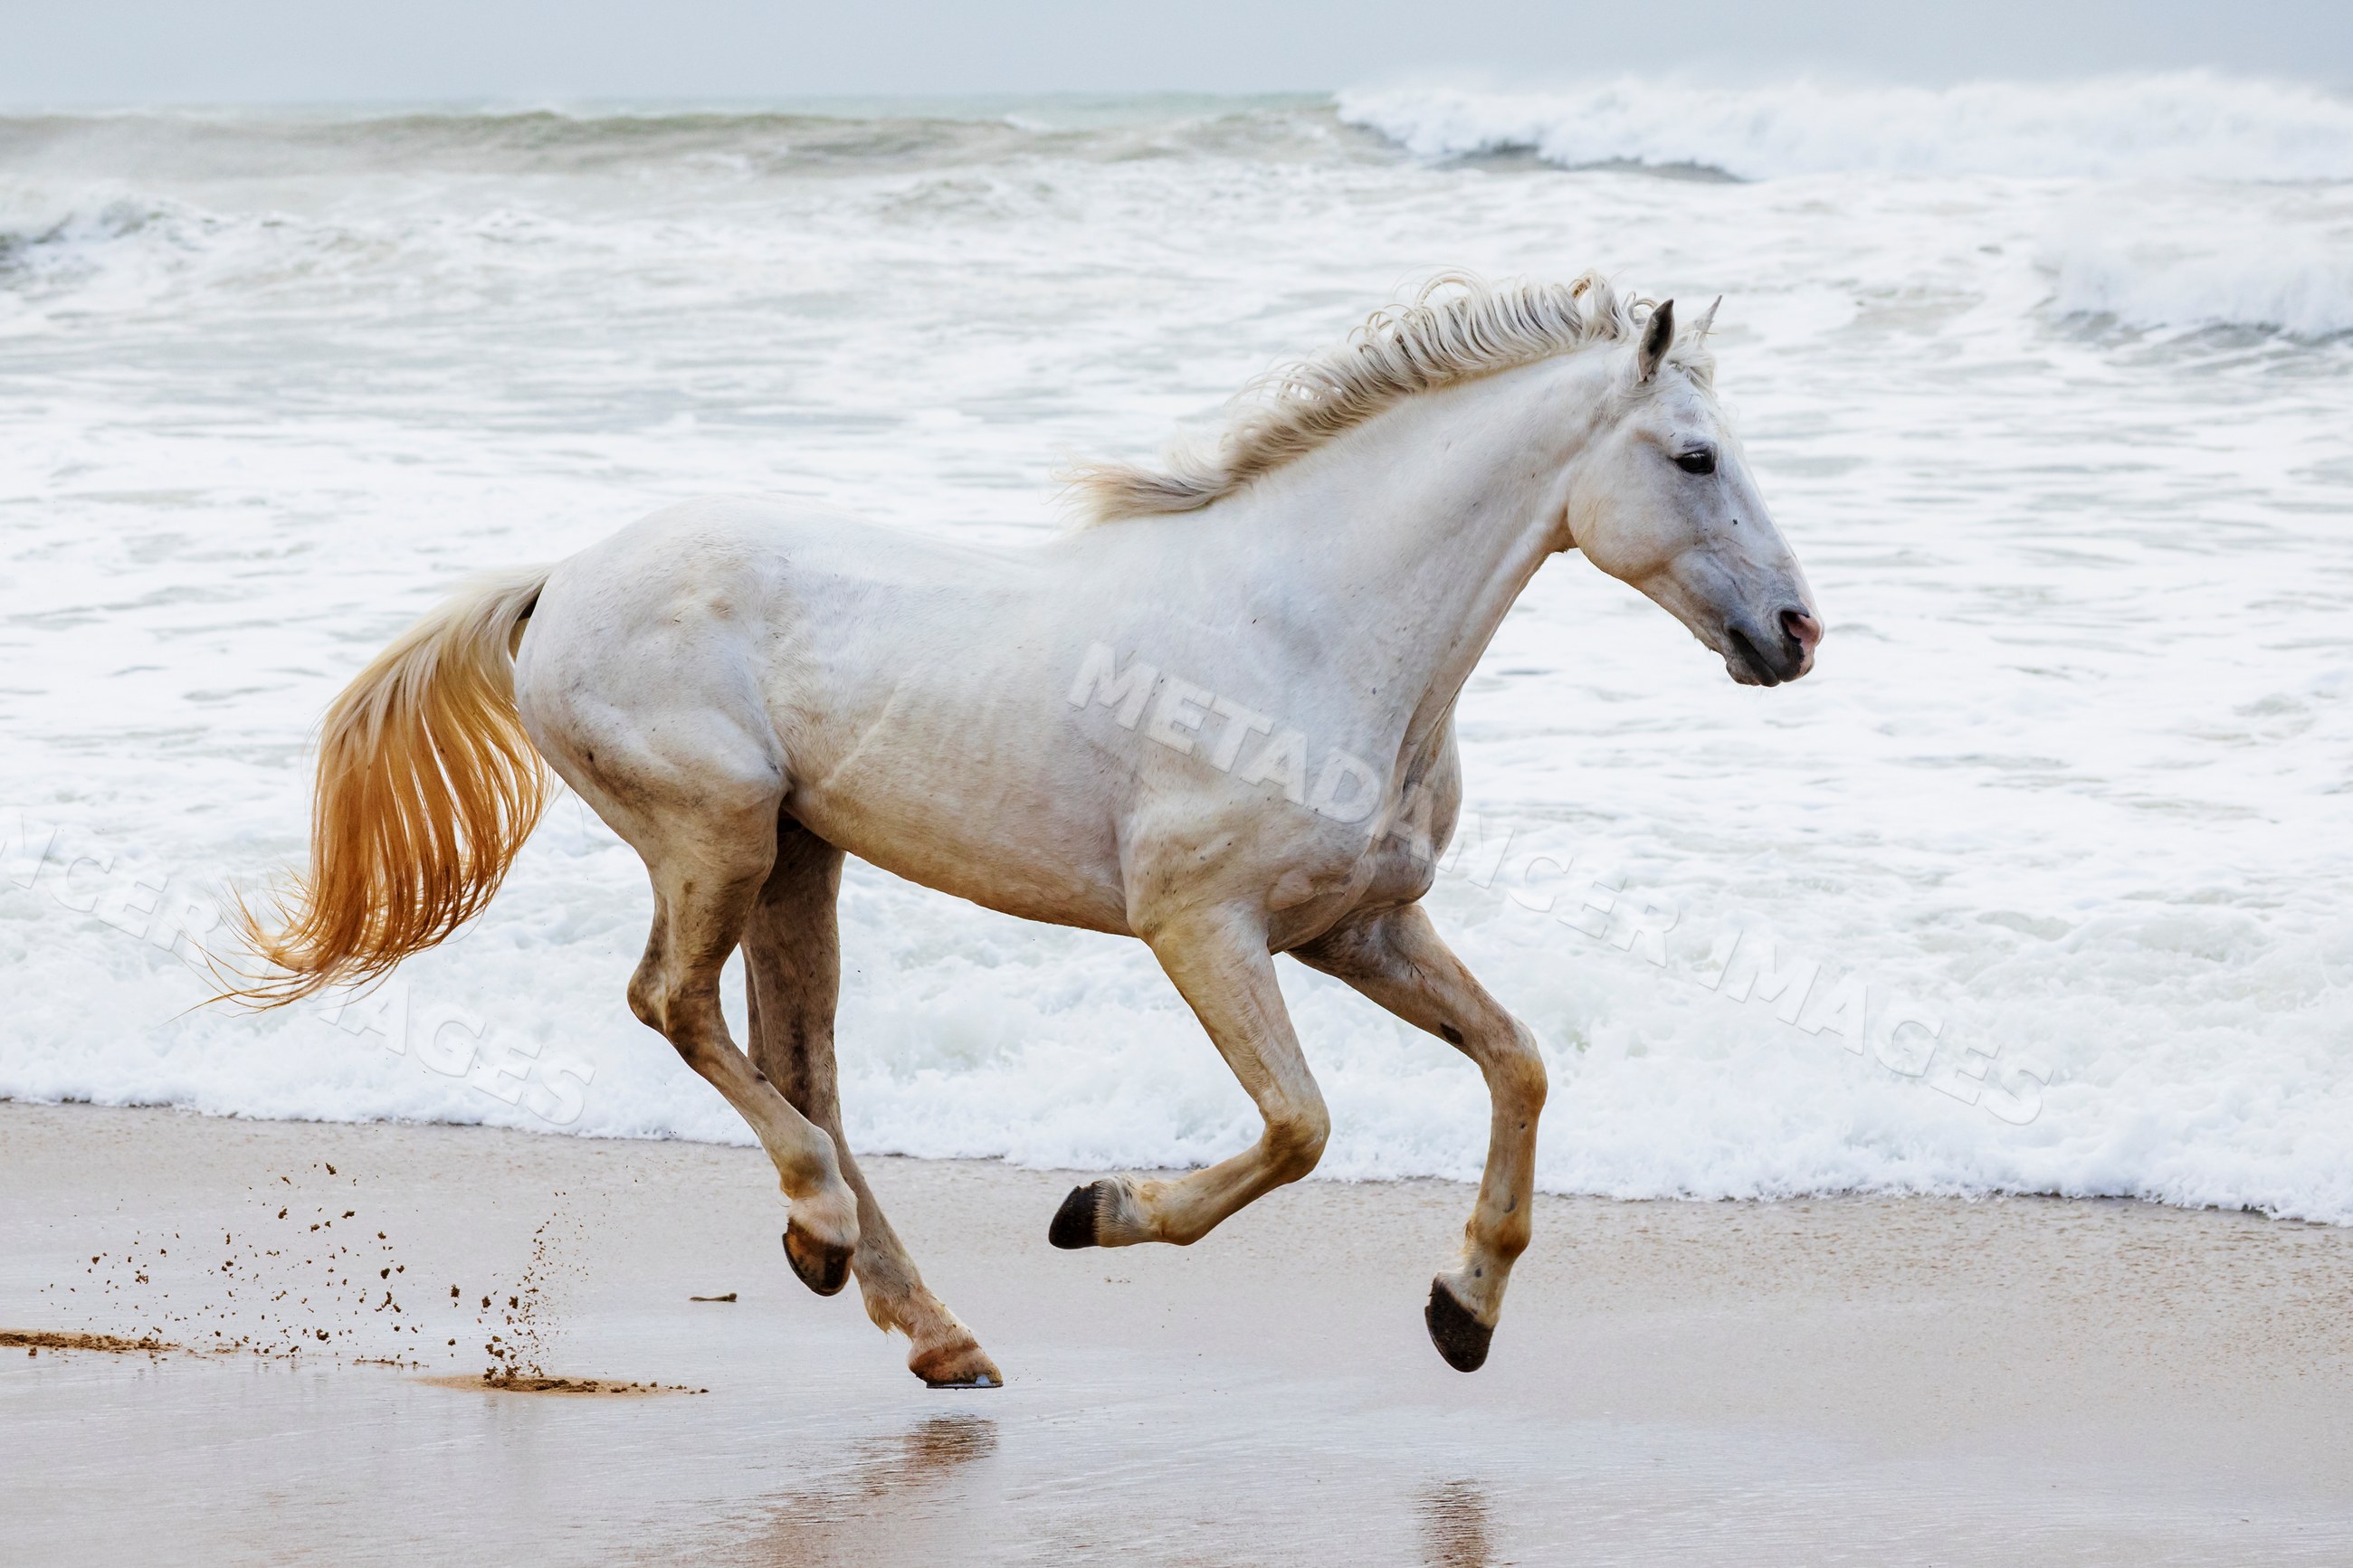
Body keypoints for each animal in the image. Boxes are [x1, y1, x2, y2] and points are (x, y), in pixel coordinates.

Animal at [230, 273, 1821, 1387]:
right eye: (1694, 457)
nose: (1797, 633)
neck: (1312, 635)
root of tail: (558, 581)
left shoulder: (1359, 927)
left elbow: (1519, 1063)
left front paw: (1463, 1310)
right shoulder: (1203, 929)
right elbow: (1301, 1127)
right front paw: (1096, 1211)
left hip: (800, 855)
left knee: (798, 1063)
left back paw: (913, 1317)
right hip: (717, 833)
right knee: (677, 1008)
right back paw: (826, 1232)